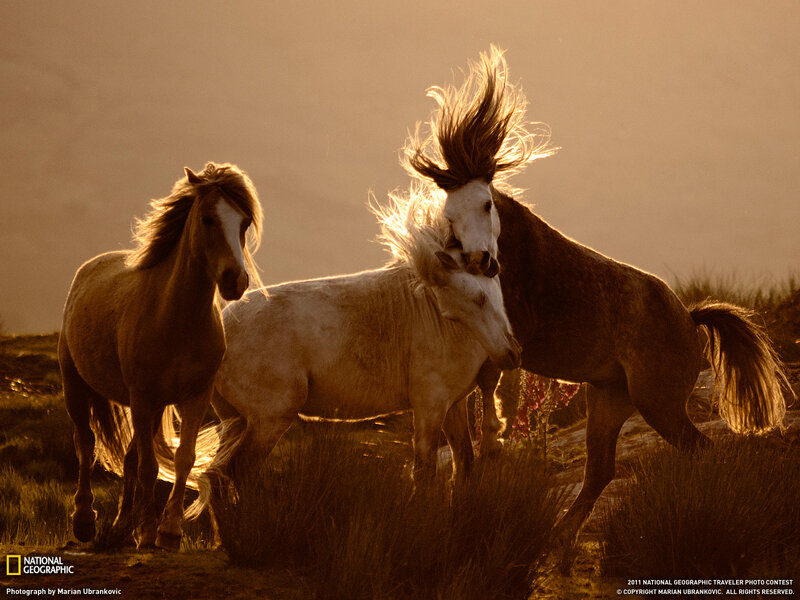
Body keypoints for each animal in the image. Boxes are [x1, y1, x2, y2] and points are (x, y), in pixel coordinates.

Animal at [58, 162, 263, 550]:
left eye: (244, 223)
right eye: (208, 218)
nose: (235, 280)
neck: (175, 320)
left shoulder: (194, 397)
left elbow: (182, 459)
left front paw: (167, 530)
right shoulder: (141, 397)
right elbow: (150, 467)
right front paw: (149, 531)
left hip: (150, 410)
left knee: (128, 457)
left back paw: (122, 526)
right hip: (78, 388)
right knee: (85, 445)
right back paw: (85, 522)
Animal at [159, 186, 522, 519]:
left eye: (492, 293)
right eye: (474, 300)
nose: (511, 354)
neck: (447, 325)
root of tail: (221, 329)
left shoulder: (453, 405)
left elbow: (465, 463)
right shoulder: (429, 407)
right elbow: (424, 471)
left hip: (233, 420)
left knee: (216, 477)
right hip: (268, 419)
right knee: (234, 473)